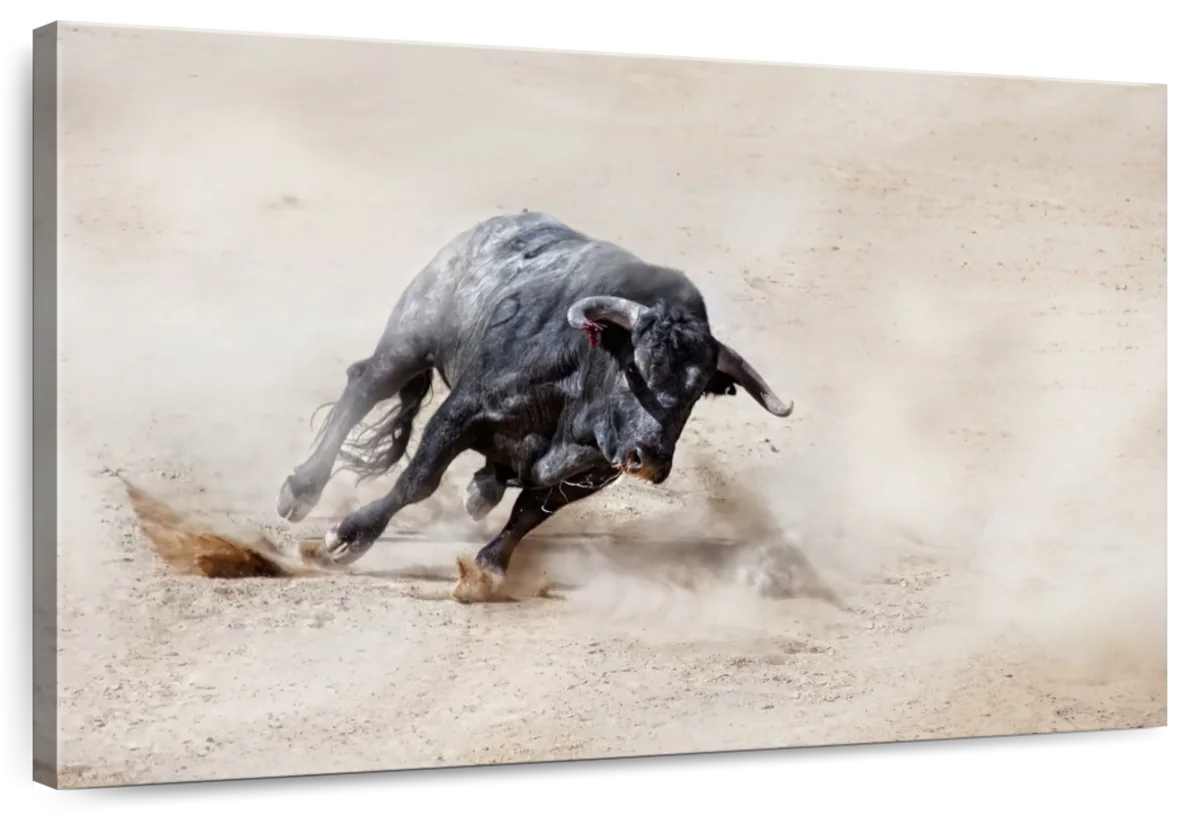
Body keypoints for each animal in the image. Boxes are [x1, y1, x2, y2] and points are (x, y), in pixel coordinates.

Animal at [276, 211, 793, 598]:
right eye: (637, 367)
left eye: (695, 390)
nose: (649, 458)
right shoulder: (463, 411)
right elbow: (418, 479)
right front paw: (347, 538)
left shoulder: (592, 472)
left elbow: (530, 512)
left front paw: (486, 570)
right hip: (410, 339)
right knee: (364, 386)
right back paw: (300, 489)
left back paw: (482, 489)